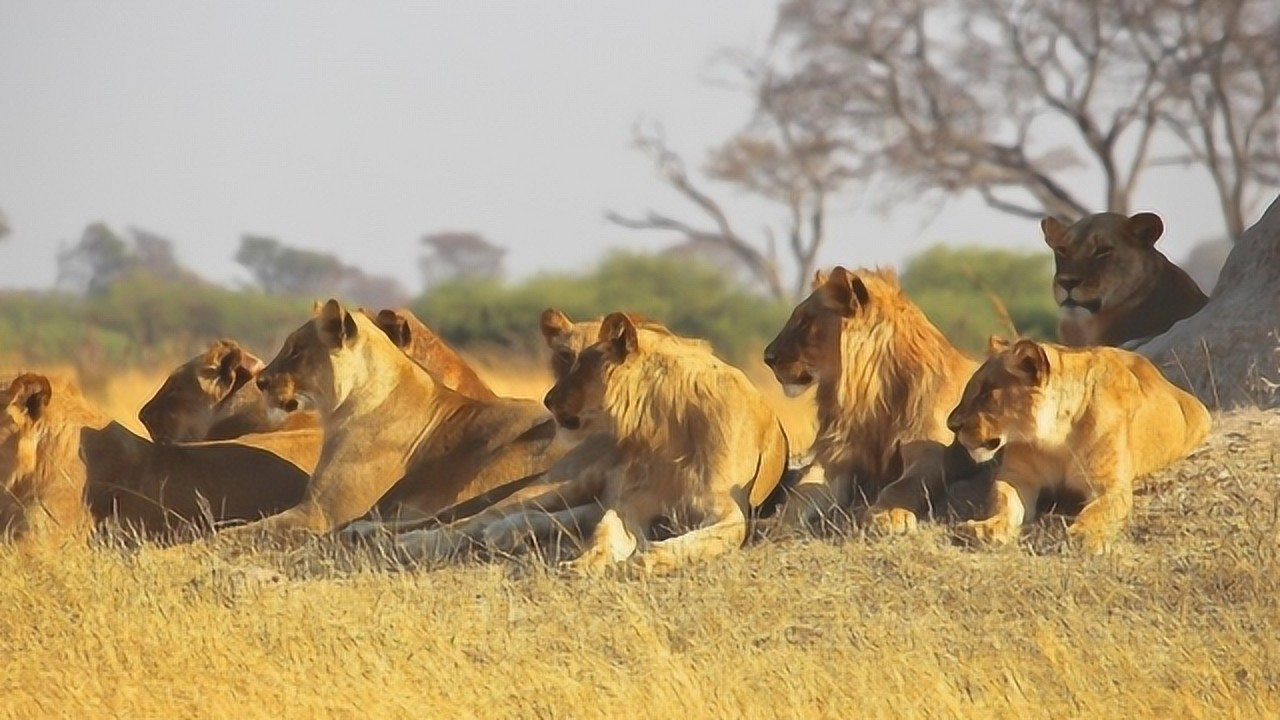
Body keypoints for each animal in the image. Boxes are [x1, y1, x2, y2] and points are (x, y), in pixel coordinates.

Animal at [532, 311, 788, 568]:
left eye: (581, 366)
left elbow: (697, 540)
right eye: (566, 358)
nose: (548, 400)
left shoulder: (728, 508)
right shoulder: (634, 500)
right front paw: (585, 562)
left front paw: (646, 560)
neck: (669, 424)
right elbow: (606, 532)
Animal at [952, 335, 1208, 548]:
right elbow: (1004, 500)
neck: (1056, 438)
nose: (950, 425)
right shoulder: (1017, 476)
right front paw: (985, 528)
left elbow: (1098, 510)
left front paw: (1083, 535)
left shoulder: (1110, 485)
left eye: (986, 393)